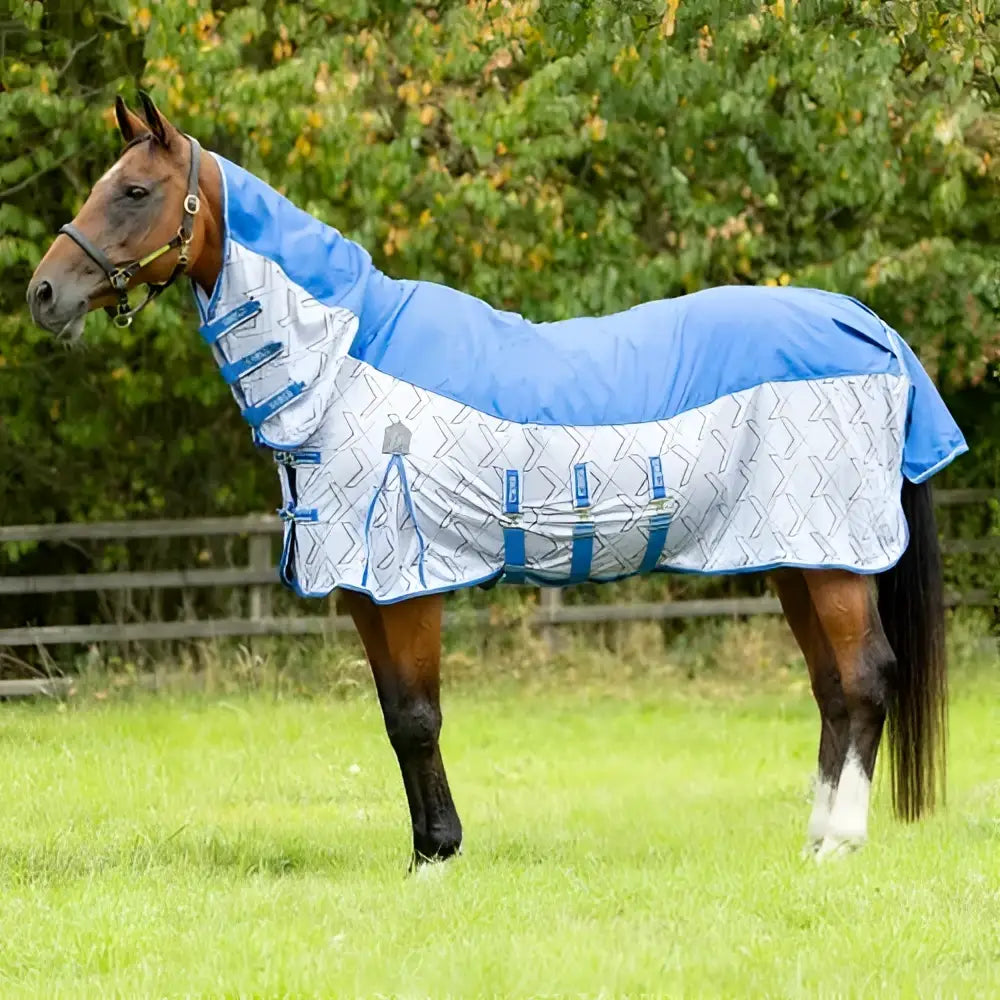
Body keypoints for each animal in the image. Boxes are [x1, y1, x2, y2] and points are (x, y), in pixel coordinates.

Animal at [27, 93, 967, 866]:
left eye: (134, 192)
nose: (43, 294)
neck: (343, 362)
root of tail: (867, 326)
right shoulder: (369, 592)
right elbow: (396, 718)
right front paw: (424, 852)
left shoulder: (407, 582)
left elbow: (418, 716)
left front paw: (439, 853)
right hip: (798, 557)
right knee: (833, 689)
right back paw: (814, 838)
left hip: (831, 559)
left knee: (865, 678)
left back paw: (839, 844)